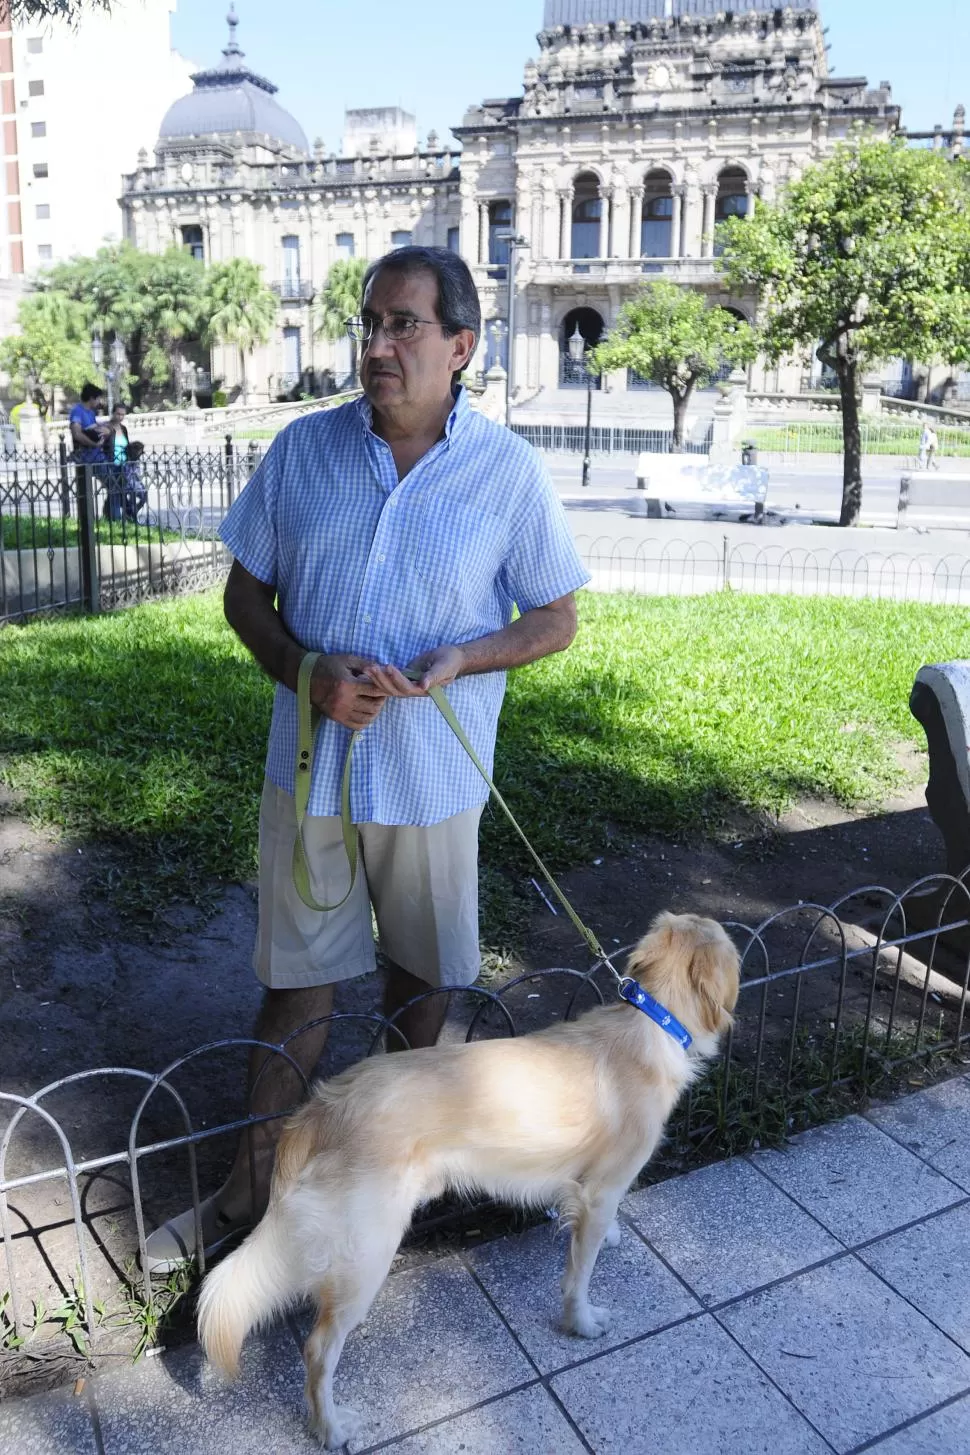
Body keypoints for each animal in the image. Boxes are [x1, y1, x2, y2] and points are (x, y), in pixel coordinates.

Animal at [200, 907, 738, 1443]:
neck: (652, 1022)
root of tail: (319, 1108)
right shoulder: (602, 1193)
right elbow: (579, 1277)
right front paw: (581, 1322)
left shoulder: (586, 1193)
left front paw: (608, 1240)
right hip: (369, 1252)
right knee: (318, 1349)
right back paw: (330, 1427)